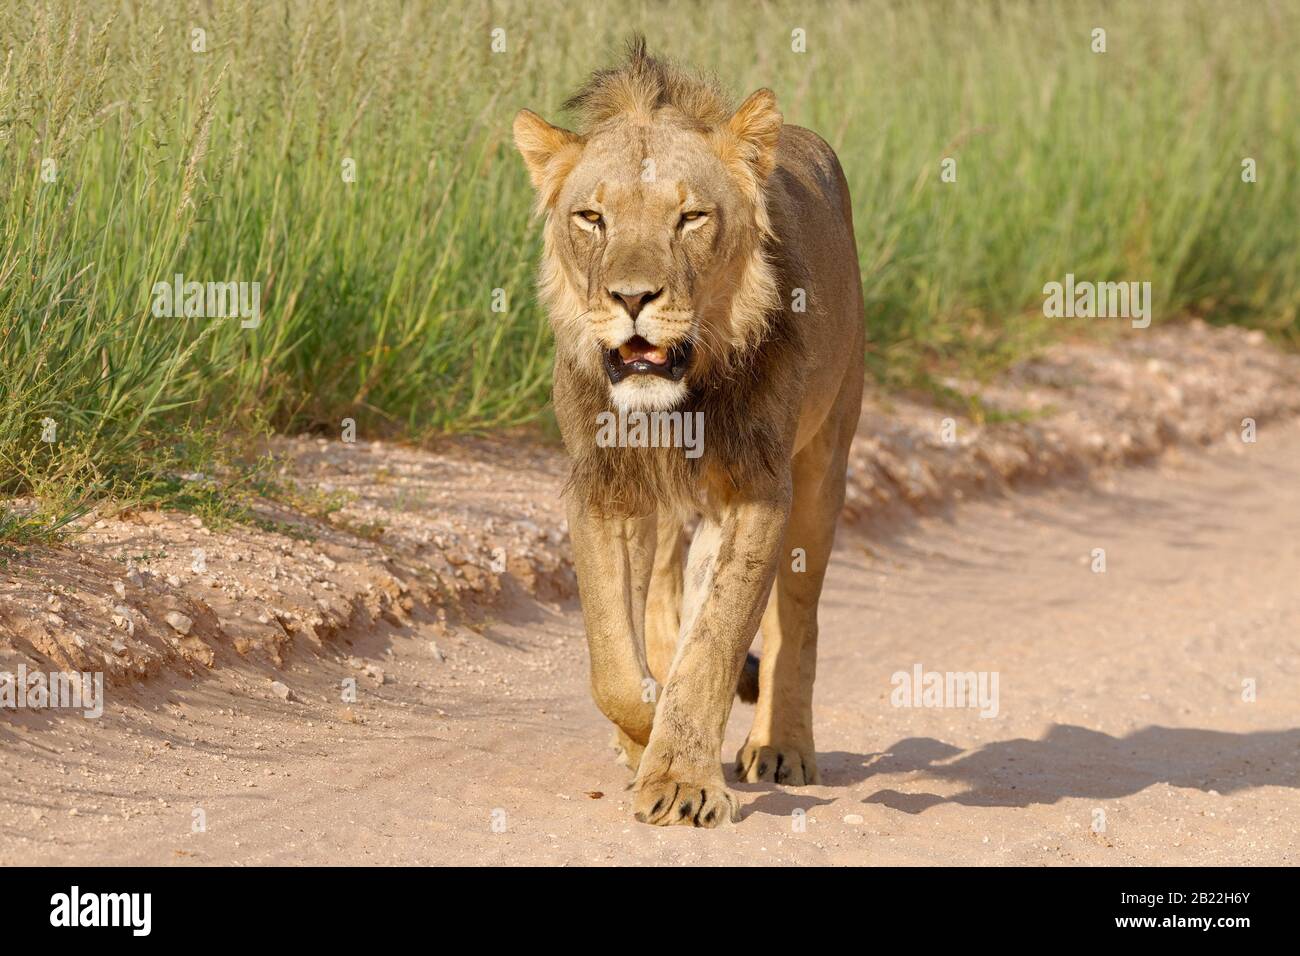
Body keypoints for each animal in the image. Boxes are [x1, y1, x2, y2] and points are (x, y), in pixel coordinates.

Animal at [514, 39, 863, 832]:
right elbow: (615, 660)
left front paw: (679, 780)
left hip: (825, 464)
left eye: (691, 218)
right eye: (592, 217)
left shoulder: (756, 494)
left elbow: (713, 646)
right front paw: (642, 737)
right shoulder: (605, 489)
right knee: (660, 609)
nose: (632, 298)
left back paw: (782, 747)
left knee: (797, 617)